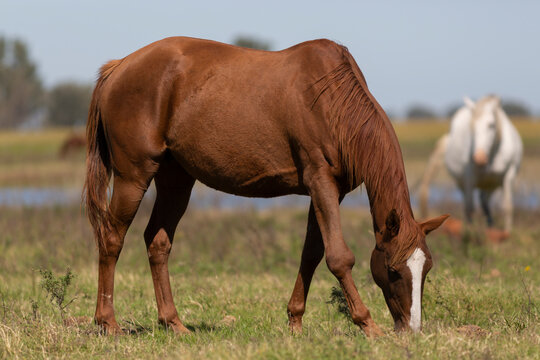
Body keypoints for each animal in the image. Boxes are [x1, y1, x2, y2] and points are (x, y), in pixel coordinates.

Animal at [84, 36, 448, 338]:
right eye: (393, 270)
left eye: (426, 269)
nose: (411, 330)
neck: (330, 99)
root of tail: (119, 67)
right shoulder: (321, 182)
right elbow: (338, 257)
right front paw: (367, 324)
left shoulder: (330, 191)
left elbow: (312, 253)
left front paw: (295, 321)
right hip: (134, 177)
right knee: (112, 237)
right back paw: (108, 323)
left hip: (176, 179)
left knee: (157, 242)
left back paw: (173, 323)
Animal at [422, 95, 524, 231]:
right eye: (472, 127)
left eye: (491, 125)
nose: (479, 158)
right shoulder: (469, 178)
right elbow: (470, 208)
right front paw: (470, 232)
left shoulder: (509, 175)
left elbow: (507, 207)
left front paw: (507, 232)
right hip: (463, 183)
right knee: (470, 204)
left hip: (491, 184)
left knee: (484, 201)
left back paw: (490, 225)